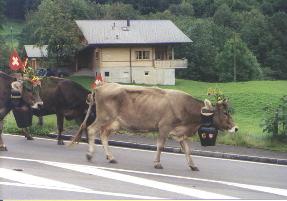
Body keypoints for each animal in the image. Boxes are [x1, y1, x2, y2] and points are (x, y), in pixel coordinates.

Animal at [86, 83, 240, 171]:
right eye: (225, 113)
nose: (236, 128)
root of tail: (101, 87)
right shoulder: (164, 127)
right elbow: (160, 146)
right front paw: (157, 163)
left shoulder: (181, 133)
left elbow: (187, 150)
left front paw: (193, 165)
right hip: (104, 117)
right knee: (91, 129)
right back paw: (90, 154)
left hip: (114, 122)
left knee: (104, 134)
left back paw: (111, 157)